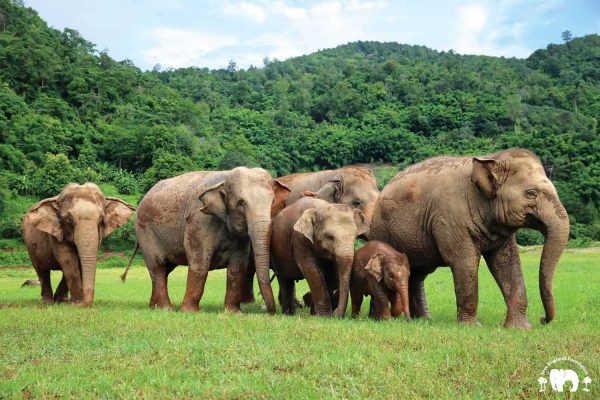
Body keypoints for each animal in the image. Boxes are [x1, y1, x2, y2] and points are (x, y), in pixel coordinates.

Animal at [132, 167, 290, 314]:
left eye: (272, 202)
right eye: (241, 203)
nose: (267, 310)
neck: (225, 178)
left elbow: (238, 266)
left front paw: (233, 313)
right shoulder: (199, 220)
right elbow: (200, 262)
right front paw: (190, 312)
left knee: (165, 269)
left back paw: (154, 307)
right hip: (145, 231)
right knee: (158, 266)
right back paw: (165, 309)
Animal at [370, 148, 572, 326]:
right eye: (531, 194)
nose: (543, 319)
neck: (492, 158)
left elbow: (507, 262)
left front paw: (520, 328)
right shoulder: (449, 218)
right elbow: (465, 261)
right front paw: (471, 326)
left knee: (418, 273)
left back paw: (424, 320)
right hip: (383, 230)